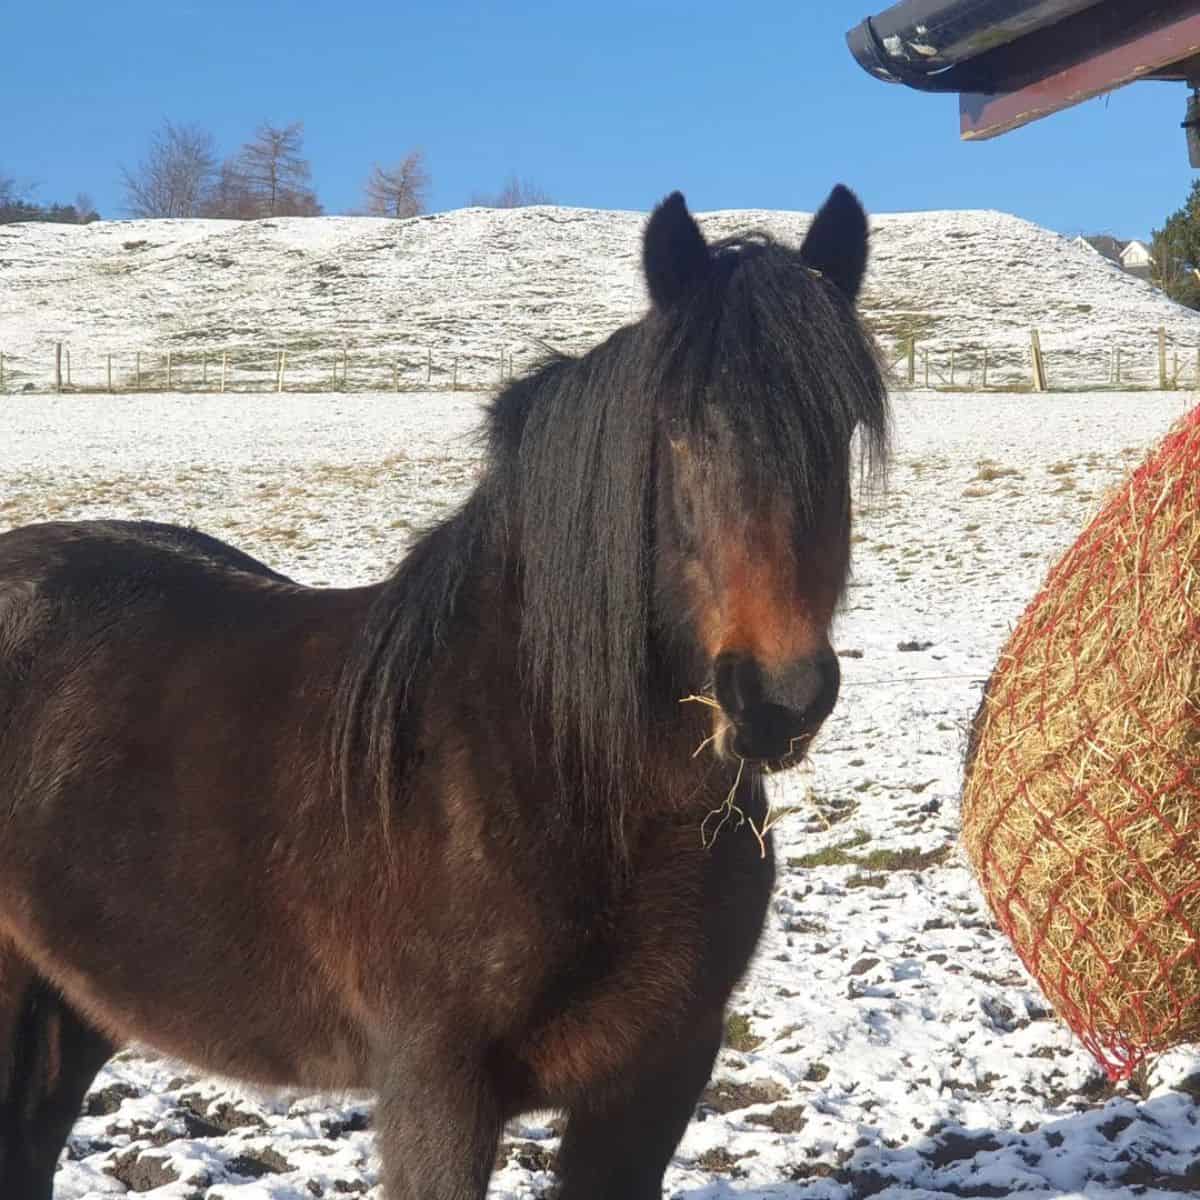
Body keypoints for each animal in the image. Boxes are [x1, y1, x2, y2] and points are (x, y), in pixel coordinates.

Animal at [0, 192, 883, 1195]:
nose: (777, 697)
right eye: (682, 430)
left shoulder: (656, 1078)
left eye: (841, 433)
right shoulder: (438, 1092)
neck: (557, 762)